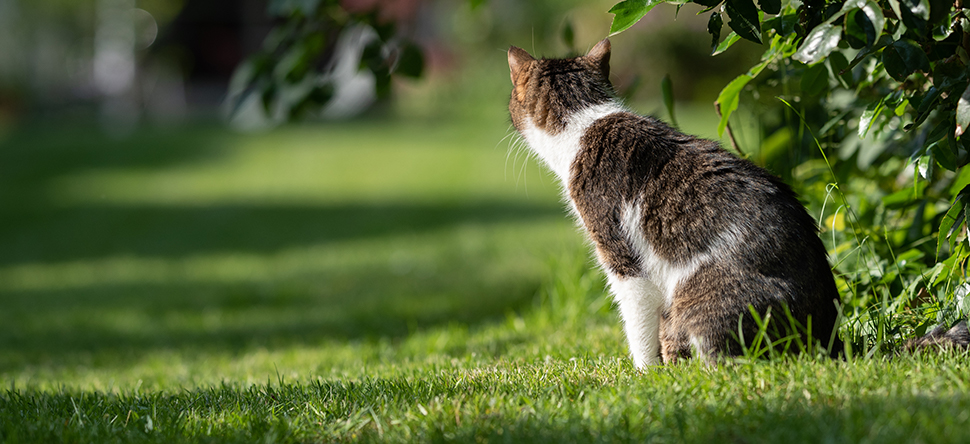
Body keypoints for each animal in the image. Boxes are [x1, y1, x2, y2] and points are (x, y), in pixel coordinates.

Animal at [506, 38, 840, 366]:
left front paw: (645, 373)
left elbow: (638, 327)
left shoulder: (625, 261)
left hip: (702, 297)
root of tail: (826, 340)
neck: (586, 123)